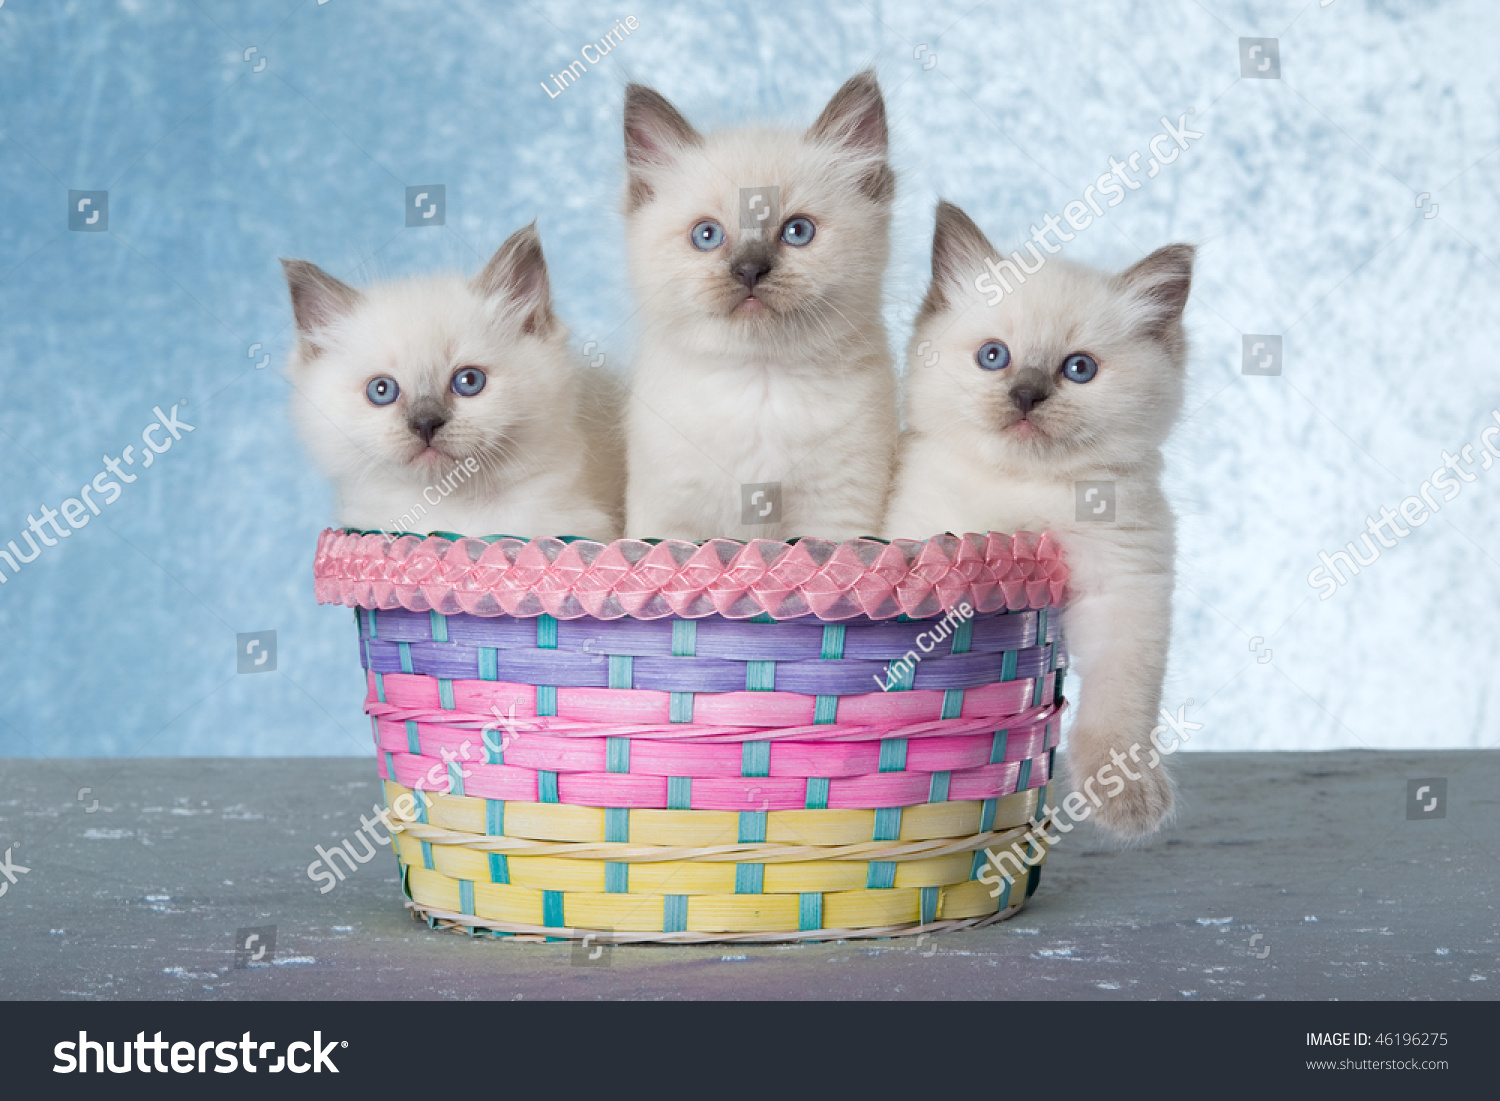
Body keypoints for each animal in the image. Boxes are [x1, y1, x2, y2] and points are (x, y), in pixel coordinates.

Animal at [615, 69, 894, 543]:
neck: (759, 382)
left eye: (798, 231)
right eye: (706, 235)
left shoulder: (837, 515)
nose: (749, 270)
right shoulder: (669, 518)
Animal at [882, 202, 1188, 840]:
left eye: (1079, 369)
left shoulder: (1122, 592)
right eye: (993, 356)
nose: (1026, 395)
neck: (1027, 487)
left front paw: (1127, 801)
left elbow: (1119, 709)